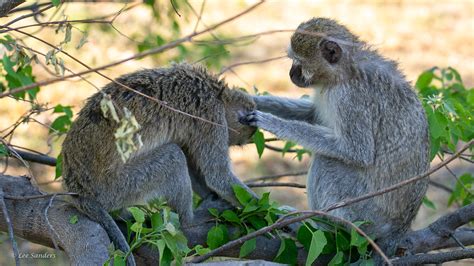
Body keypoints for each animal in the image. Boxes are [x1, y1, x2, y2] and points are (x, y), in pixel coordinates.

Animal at [62, 63, 258, 264]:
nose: (233, 143)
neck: (218, 93)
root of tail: (78, 190)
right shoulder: (211, 117)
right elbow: (217, 176)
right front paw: (265, 213)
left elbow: (196, 166)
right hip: (117, 188)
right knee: (173, 157)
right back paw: (190, 222)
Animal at [241, 17, 430, 255]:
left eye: (298, 62)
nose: (291, 74)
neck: (342, 72)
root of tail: (399, 229)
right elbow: (311, 115)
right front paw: (249, 97)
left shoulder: (350, 99)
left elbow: (356, 151)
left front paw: (271, 122)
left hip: (364, 215)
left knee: (327, 160)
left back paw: (322, 226)